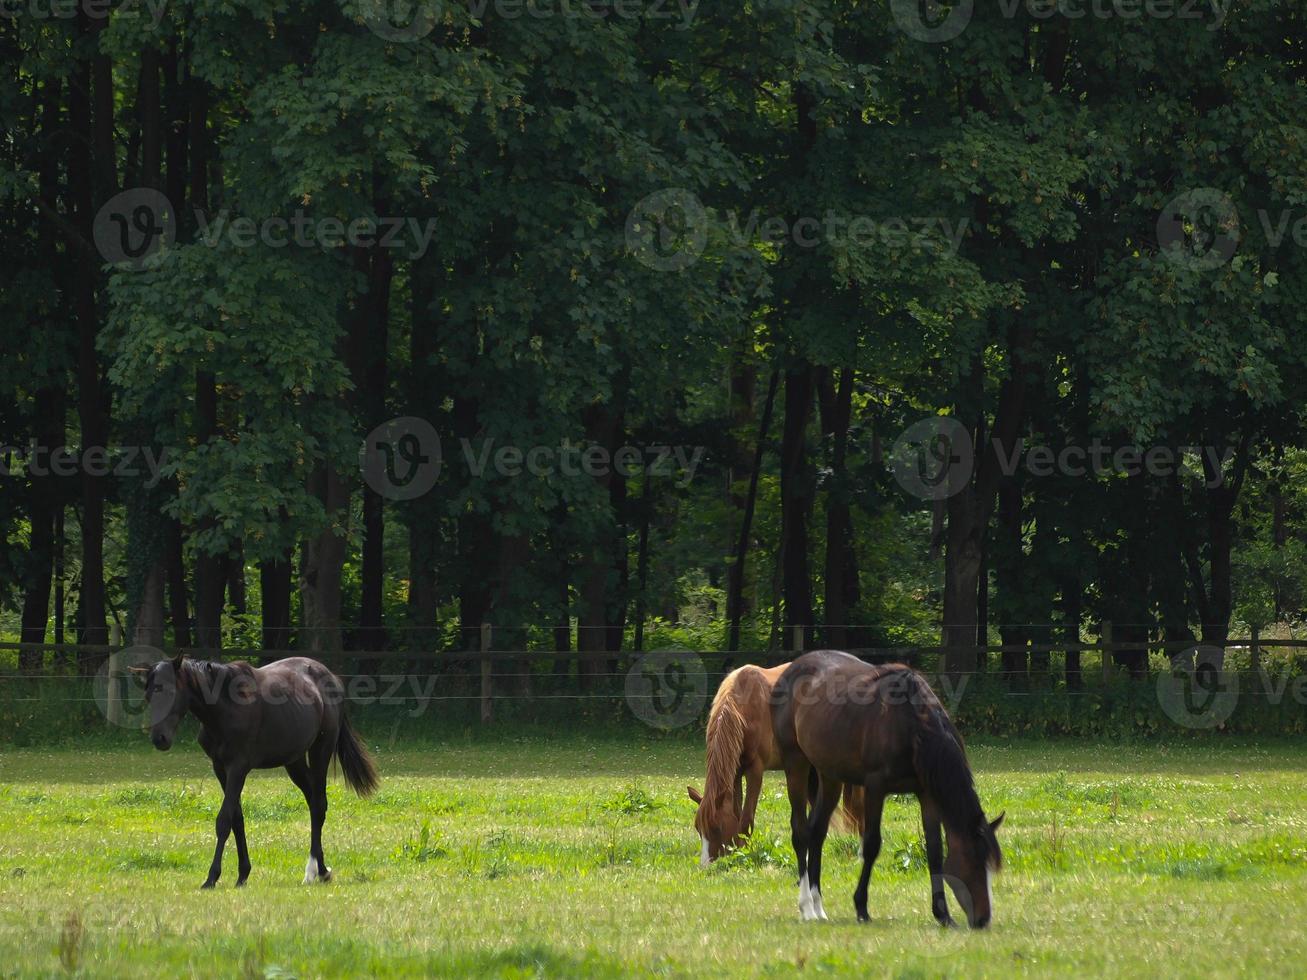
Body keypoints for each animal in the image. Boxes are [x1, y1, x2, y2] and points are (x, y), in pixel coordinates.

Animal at [141, 661, 381, 888]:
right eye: (148, 694)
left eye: (168, 690)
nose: (159, 738)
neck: (225, 708)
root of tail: (331, 677)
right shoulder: (220, 768)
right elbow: (237, 819)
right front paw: (243, 874)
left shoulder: (238, 768)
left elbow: (224, 820)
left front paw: (212, 878)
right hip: (294, 762)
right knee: (314, 803)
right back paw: (319, 870)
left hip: (320, 751)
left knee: (319, 806)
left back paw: (315, 871)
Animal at [684, 663, 867, 862]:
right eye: (698, 828)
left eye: (717, 828)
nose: (705, 864)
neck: (744, 708)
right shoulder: (736, 772)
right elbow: (737, 813)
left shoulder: (755, 771)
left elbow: (746, 819)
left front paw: (744, 853)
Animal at [768, 653, 1003, 930]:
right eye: (973, 863)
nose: (983, 919)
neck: (910, 724)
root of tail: (790, 669)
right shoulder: (875, 788)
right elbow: (871, 845)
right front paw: (861, 908)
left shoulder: (927, 794)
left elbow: (935, 851)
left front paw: (943, 915)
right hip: (796, 764)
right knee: (801, 832)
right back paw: (806, 907)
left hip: (830, 775)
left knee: (817, 832)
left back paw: (819, 907)